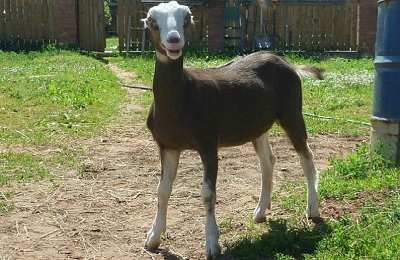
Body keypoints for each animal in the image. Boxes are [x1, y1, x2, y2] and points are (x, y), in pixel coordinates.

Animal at [142, 1, 324, 258]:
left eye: (187, 18)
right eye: (152, 20)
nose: (174, 40)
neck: (185, 94)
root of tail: (289, 64)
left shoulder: (208, 143)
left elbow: (208, 193)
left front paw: (212, 244)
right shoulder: (167, 145)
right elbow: (162, 190)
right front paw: (153, 238)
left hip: (292, 112)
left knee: (306, 157)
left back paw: (312, 209)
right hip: (258, 126)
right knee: (268, 161)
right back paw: (260, 212)